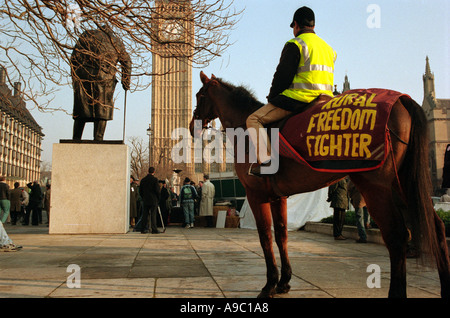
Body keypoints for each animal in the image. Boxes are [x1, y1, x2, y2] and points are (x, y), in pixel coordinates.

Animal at [190, 72, 450, 298]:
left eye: (200, 95)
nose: (193, 126)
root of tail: (403, 100)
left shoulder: (256, 195)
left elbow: (264, 237)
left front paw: (269, 285)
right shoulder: (277, 196)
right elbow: (282, 234)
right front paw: (284, 282)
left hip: (377, 186)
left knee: (396, 235)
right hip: (403, 184)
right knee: (436, 227)